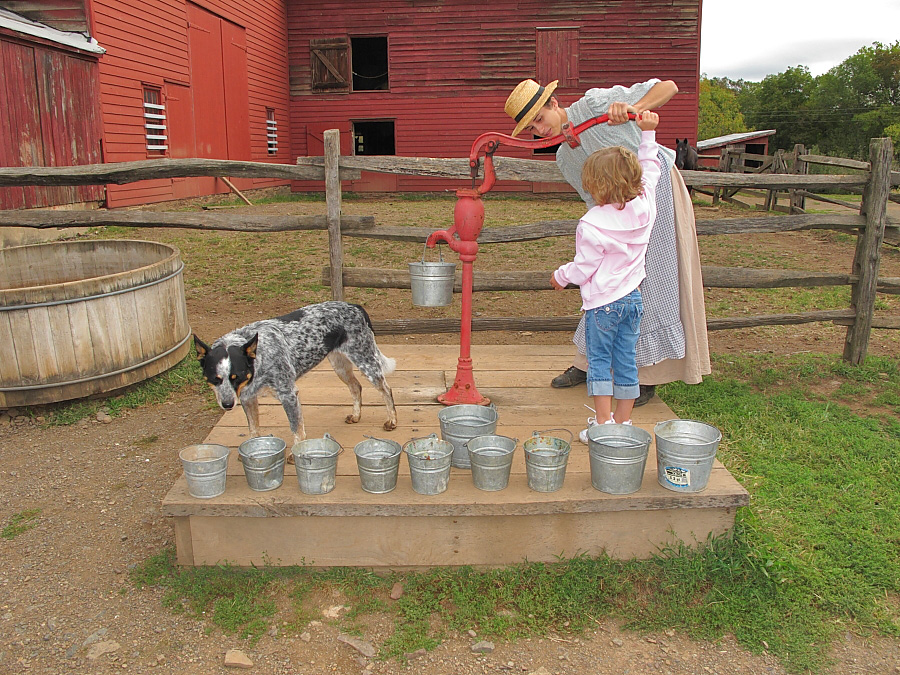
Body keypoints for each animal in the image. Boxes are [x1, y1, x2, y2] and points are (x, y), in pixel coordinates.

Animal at [197, 304, 398, 446]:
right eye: (215, 379)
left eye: (236, 376)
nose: (227, 404)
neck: (257, 357)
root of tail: (356, 306)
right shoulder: (248, 398)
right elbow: (253, 429)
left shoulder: (289, 395)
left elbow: (296, 429)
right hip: (339, 365)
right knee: (356, 387)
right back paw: (356, 415)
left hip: (366, 361)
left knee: (386, 389)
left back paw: (392, 420)